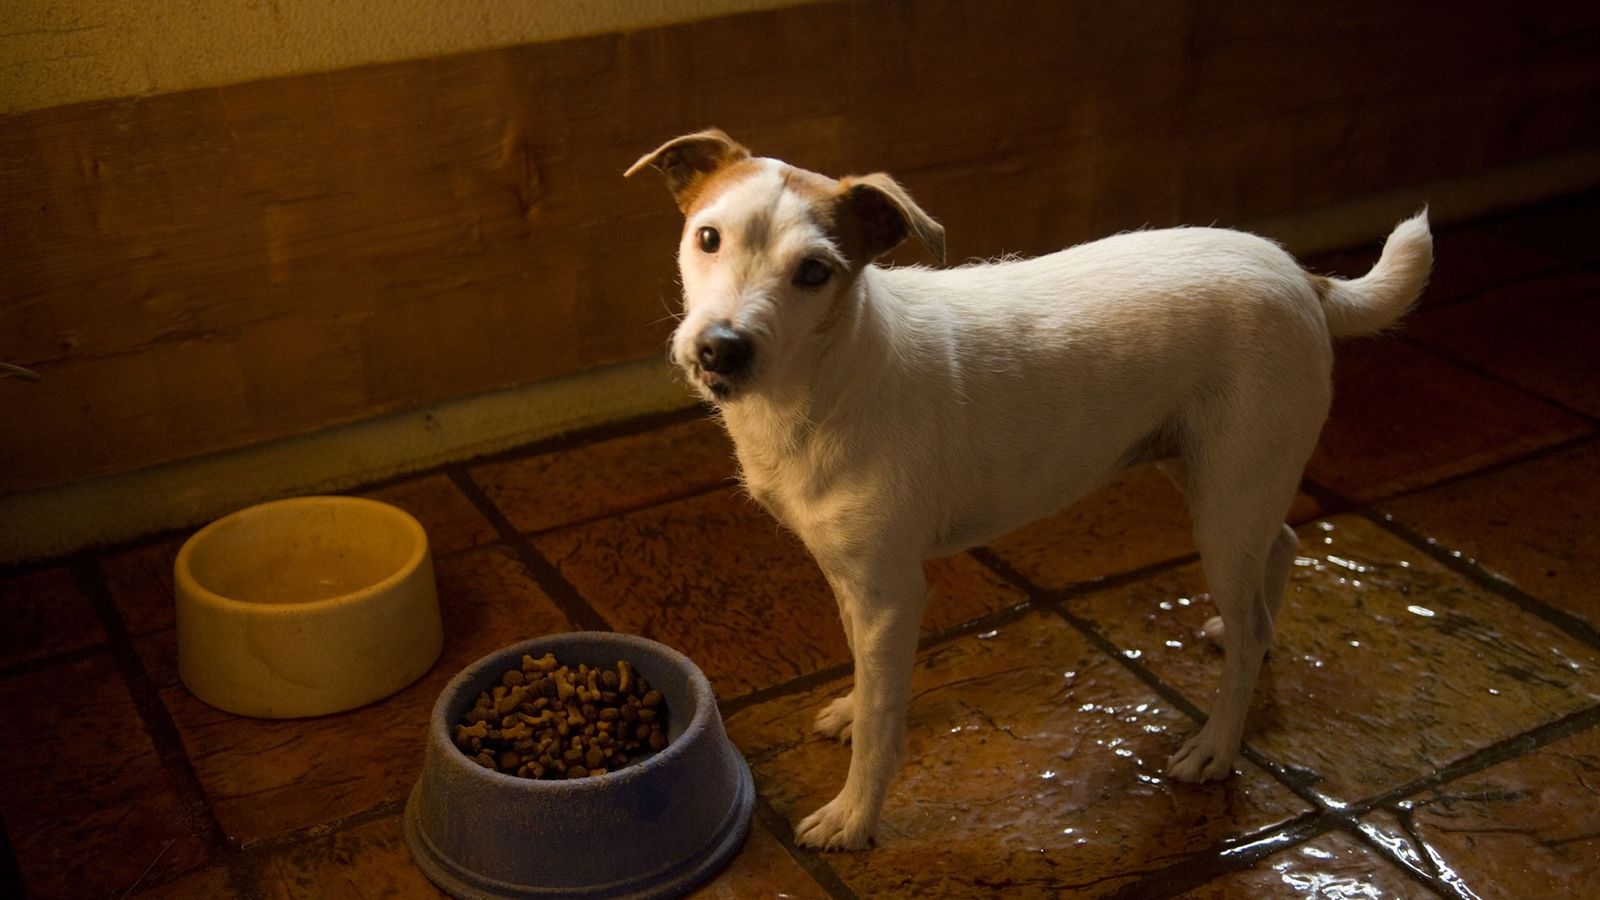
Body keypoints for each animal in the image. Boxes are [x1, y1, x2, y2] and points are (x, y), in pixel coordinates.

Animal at [620, 129, 1427, 845]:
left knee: (1257, 610)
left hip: (1226, 503)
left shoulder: (891, 593)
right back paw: (1238, 640)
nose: (720, 348)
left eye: (815, 273)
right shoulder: (852, 579)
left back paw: (1217, 746)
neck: (824, 379)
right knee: (1279, 551)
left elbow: (883, 727)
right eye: (708, 237)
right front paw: (854, 705)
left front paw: (853, 817)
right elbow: (867, 676)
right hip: (1217, 479)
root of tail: (1303, 278)